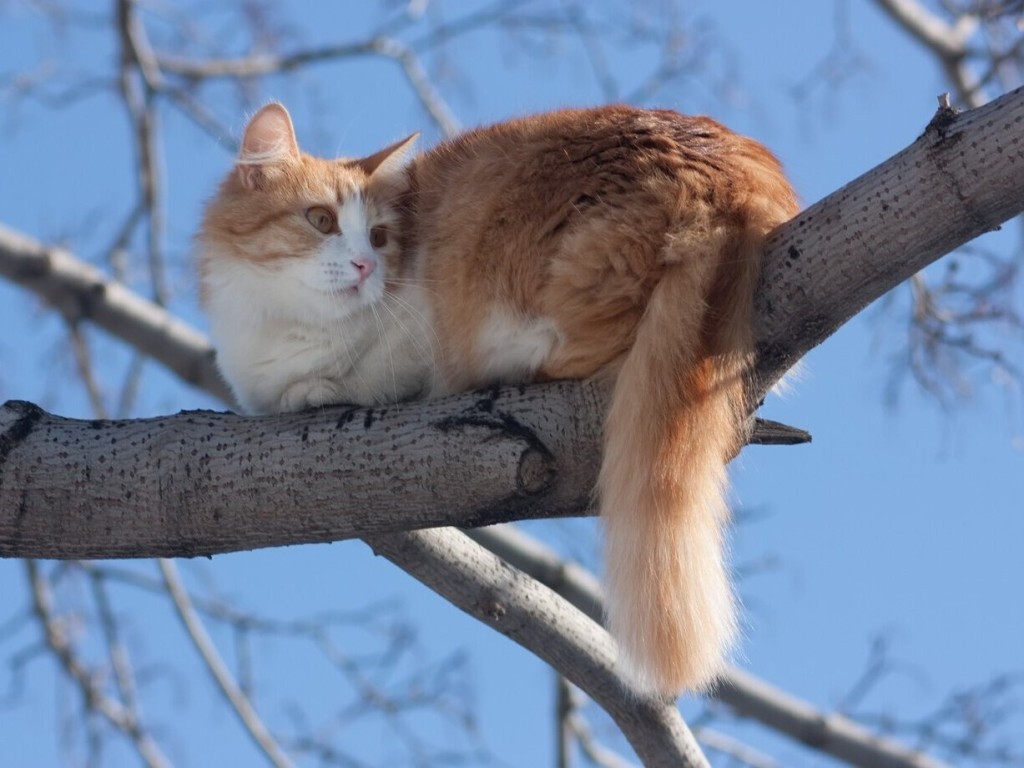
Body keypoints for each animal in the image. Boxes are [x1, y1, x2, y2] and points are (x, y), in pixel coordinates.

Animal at [197, 102, 798, 696]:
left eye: (380, 237)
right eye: (321, 220)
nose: (367, 267)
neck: (279, 332)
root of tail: (728, 168)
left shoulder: (417, 338)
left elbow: (360, 376)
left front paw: (317, 388)